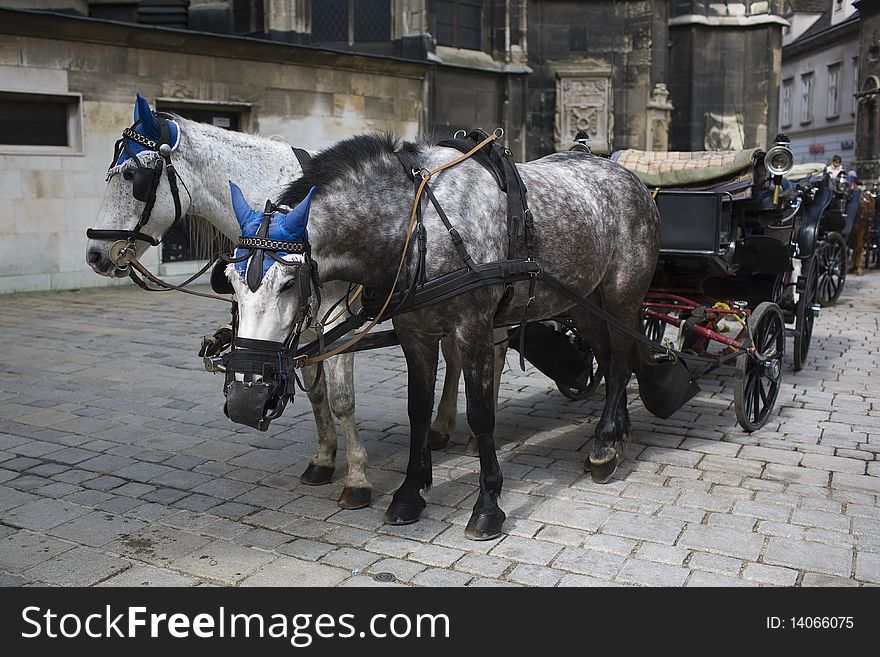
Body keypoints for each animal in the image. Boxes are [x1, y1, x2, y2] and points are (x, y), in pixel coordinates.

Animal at [86, 95, 478, 510]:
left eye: (133, 177)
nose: (94, 254)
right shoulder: (300, 327)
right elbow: (316, 392)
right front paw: (324, 459)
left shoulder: (336, 323)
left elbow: (341, 400)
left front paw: (357, 477)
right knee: (454, 355)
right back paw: (442, 427)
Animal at [220, 133, 660, 540]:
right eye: (229, 282)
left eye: (288, 284)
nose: (245, 401)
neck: (419, 225)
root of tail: (630, 179)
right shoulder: (414, 332)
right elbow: (418, 409)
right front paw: (409, 494)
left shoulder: (474, 327)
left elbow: (482, 415)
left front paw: (487, 506)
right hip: (583, 301)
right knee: (609, 356)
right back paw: (618, 433)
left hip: (622, 294)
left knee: (620, 363)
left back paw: (605, 446)